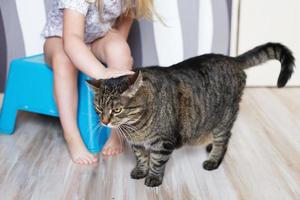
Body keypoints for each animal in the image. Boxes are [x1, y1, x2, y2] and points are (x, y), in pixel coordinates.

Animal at [86, 43, 296, 187]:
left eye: (117, 110)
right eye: (98, 108)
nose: (104, 121)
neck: (135, 127)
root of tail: (231, 59)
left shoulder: (163, 142)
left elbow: (156, 161)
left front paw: (153, 177)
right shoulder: (136, 144)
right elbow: (141, 157)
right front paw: (140, 170)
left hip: (224, 118)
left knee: (224, 139)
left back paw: (213, 159)